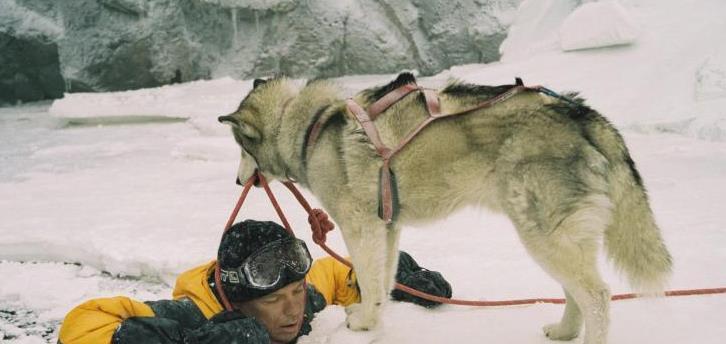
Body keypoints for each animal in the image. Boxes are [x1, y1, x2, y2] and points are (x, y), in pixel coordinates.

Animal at [219, 73, 672, 344]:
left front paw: (363, 323)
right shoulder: (387, 227)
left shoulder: (361, 226)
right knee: (576, 291)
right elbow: (383, 281)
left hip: (542, 234)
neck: (311, 127)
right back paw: (563, 331)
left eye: (240, 148)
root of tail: (583, 114)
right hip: (555, 236)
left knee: (597, 295)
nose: (238, 182)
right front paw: (377, 317)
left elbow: (368, 277)